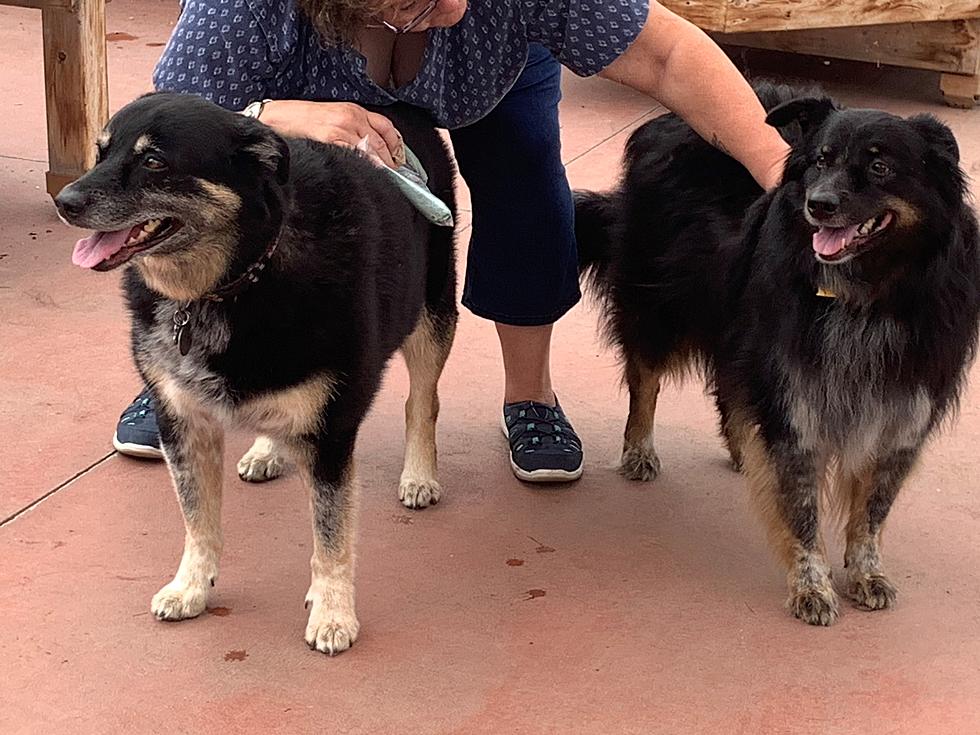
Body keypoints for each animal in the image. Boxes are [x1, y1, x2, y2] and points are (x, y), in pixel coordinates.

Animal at [57, 93, 460, 656]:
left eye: (154, 161)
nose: (65, 200)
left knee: (422, 401)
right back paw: (268, 451)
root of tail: (395, 106)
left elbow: (331, 535)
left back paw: (419, 474)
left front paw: (333, 612)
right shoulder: (182, 420)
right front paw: (191, 586)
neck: (231, 282)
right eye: (100, 152)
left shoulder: (331, 433)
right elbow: (198, 518)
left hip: (431, 312)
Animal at [576, 83, 980, 624]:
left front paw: (866, 572)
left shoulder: (904, 411)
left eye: (880, 166)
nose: (819, 204)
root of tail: (662, 123)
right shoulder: (795, 395)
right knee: (645, 379)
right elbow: (802, 507)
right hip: (659, 306)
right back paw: (639, 450)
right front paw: (811, 586)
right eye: (821, 160)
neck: (866, 296)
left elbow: (873, 510)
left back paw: (742, 449)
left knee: (729, 390)